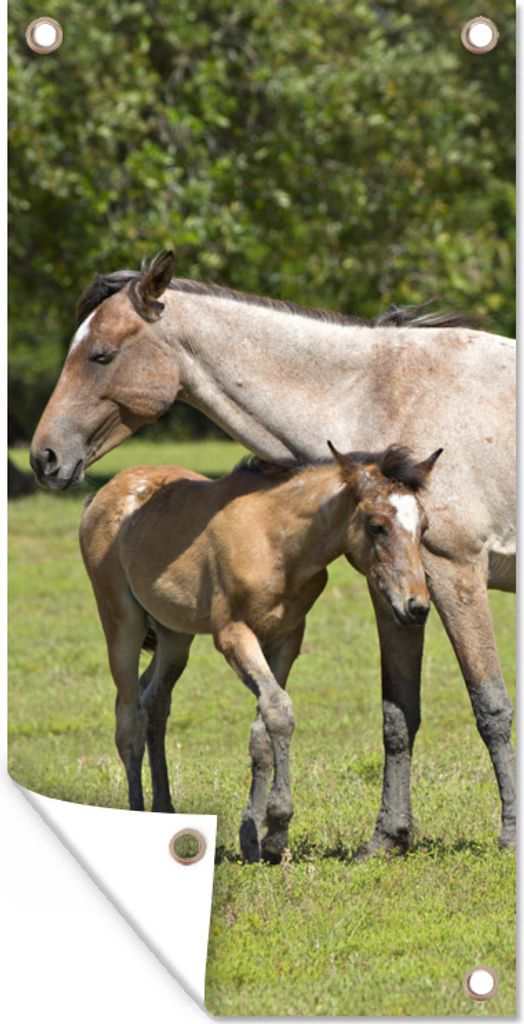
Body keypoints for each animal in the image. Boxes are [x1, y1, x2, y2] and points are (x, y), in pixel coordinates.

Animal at [79, 443, 441, 862]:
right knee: (129, 716)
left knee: (154, 702)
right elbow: (279, 711)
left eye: (424, 528)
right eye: (377, 526)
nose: (416, 606)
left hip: (174, 635)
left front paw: (255, 838)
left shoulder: (286, 637)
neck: (277, 543)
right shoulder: (233, 634)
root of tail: (104, 491)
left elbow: (262, 730)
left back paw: (165, 810)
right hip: (121, 619)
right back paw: (138, 815)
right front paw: (277, 827)